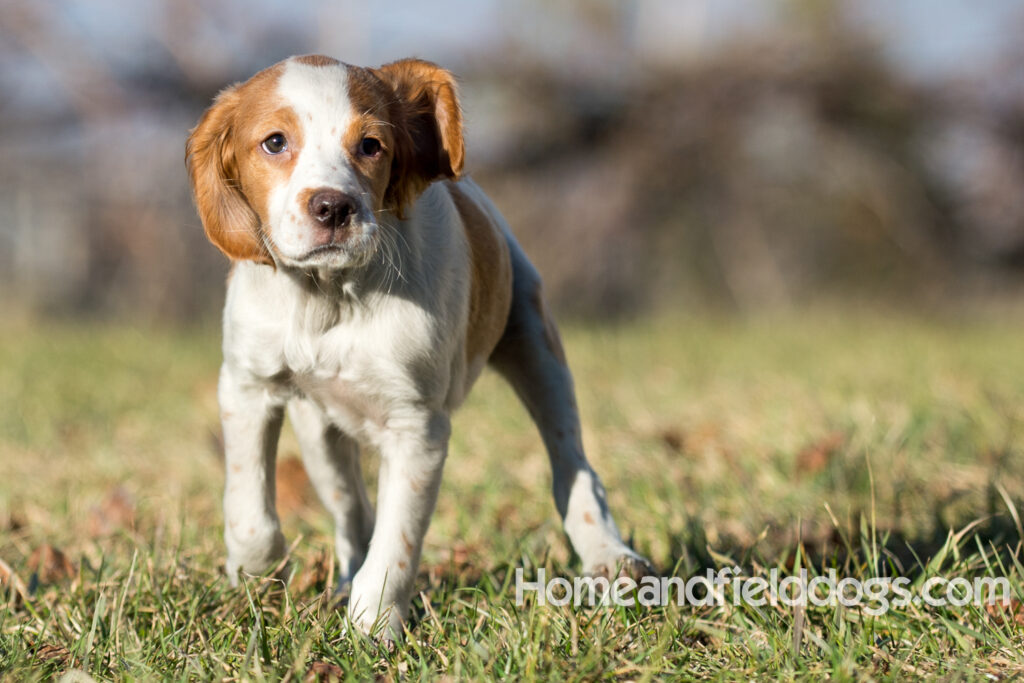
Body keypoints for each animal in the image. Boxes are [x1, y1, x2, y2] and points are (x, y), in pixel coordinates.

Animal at [186, 56, 647, 638]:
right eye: (274, 142)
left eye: (371, 145)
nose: (333, 207)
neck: (330, 299)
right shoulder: (247, 384)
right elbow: (250, 511)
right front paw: (254, 578)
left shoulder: (417, 428)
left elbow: (396, 539)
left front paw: (372, 628)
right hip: (318, 435)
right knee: (352, 509)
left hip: (536, 344)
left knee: (574, 466)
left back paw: (609, 555)